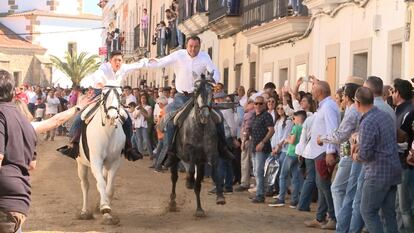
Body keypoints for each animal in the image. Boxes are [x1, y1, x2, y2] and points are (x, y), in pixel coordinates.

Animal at [75, 81, 124, 225]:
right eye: (103, 93)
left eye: (120, 94)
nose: (112, 116)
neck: (107, 132)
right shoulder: (96, 161)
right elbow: (100, 184)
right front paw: (105, 207)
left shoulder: (115, 162)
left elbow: (109, 187)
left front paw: (105, 210)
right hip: (81, 164)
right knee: (85, 185)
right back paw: (84, 212)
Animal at [167, 73, 223, 217]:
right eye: (196, 90)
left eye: (212, 91)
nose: (205, 115)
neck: (200, 127)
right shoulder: (190, 152)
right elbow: (191, 170)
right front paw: (188, 181)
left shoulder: (209, 155)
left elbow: (215, 171)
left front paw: (220, 196)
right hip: (174, 157)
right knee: (174, 178)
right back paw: (172, 202)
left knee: (197, 185)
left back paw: (199, 209)